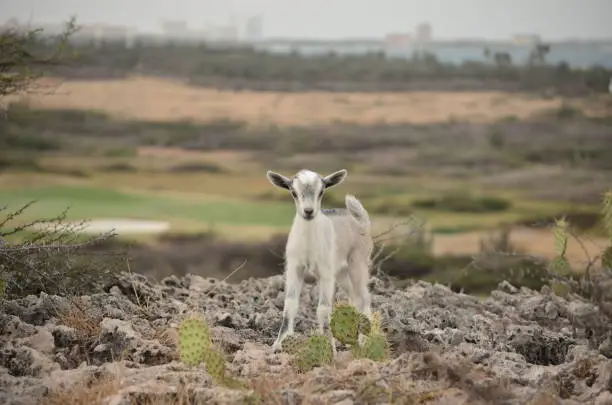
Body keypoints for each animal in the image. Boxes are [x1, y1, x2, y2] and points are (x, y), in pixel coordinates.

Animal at [266, 167, 376, 350]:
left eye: (321, 191)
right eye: (293, 192)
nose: (308, 211)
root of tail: (362, 222)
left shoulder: (325, 274)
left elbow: (323, 310)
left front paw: (329, 348)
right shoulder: (295, 268)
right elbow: (290, 305)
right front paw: (278, 344)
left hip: (358, 263)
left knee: (364, 298)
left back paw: (365, 341)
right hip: (341, 272)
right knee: (354, 298)